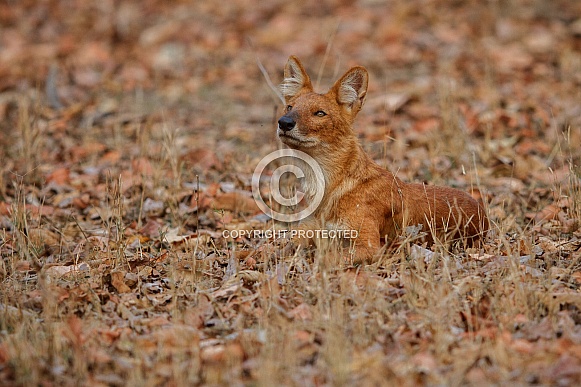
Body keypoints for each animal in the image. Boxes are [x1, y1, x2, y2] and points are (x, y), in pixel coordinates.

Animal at [274, 55, 488, 264]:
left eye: (320, 113)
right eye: (289, 107)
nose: (284, 122)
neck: (329, 186)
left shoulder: (369, 246)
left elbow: (326, 257)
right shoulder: (306, 231)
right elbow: (278, 249)